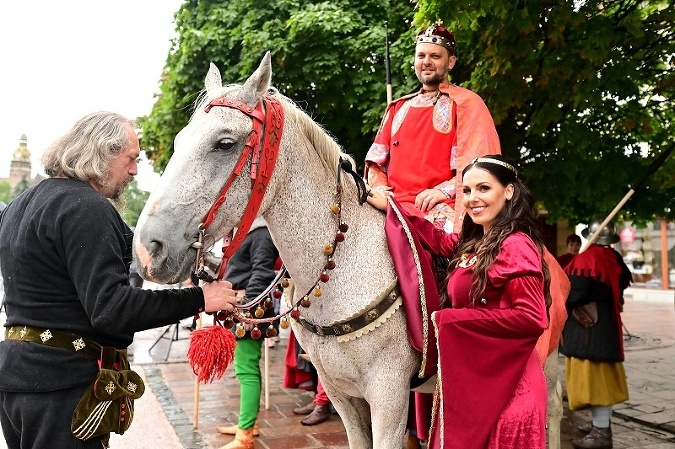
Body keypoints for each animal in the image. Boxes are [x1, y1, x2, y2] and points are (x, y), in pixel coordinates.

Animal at [133, 53, 564, 448]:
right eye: (178, 142)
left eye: (224, 143)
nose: (148, 249)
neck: (342, 266)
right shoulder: (343, 393)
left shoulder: (388, 396)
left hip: (546, 361)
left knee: (552, 412)